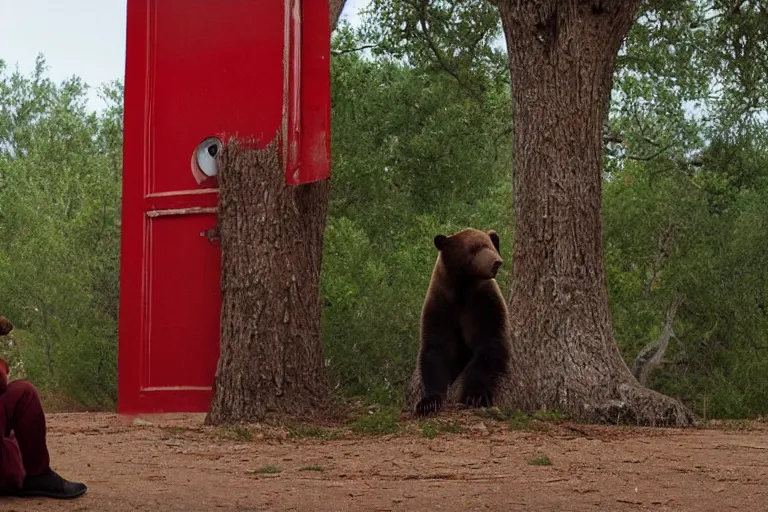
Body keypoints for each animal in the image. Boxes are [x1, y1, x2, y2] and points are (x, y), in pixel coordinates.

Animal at [412, 228, 512, 416]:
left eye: (489, 244)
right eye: (473, 248)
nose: (496, 262)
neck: (463, 289)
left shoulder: (484, 304)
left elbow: (490, 344)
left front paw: (475, 396)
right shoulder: (441, 305)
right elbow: (436, 349)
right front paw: (428, 402)